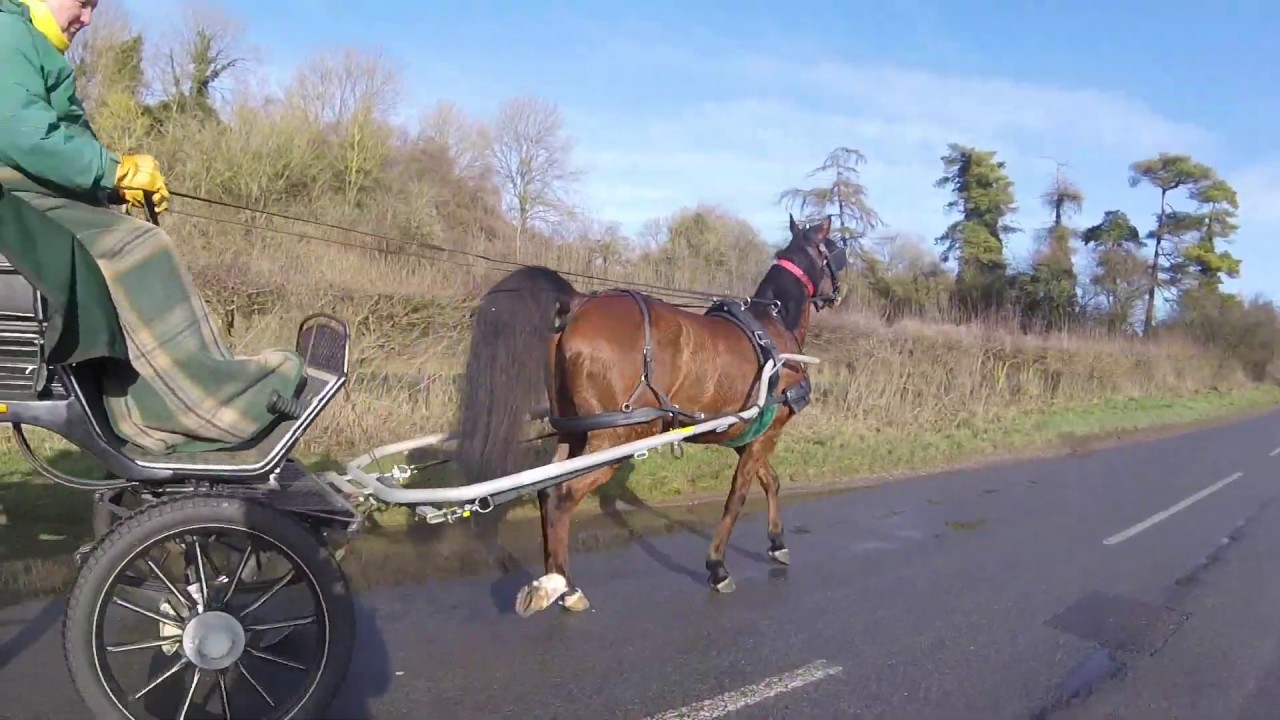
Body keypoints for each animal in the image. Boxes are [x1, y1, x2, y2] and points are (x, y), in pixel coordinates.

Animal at [453, 213, 848, 616]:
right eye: (836, 250)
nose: (837, 293)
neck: (772, 327)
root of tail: (580, 303)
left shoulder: (745, 435)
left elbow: (770, 482)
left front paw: (776, 541)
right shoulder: (768, 431)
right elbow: (737, 497)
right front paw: (717, 566)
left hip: (575, 431)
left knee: (547, 491)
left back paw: (563, 581)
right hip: (616, 436)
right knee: (563, 496)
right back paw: (559, 586)